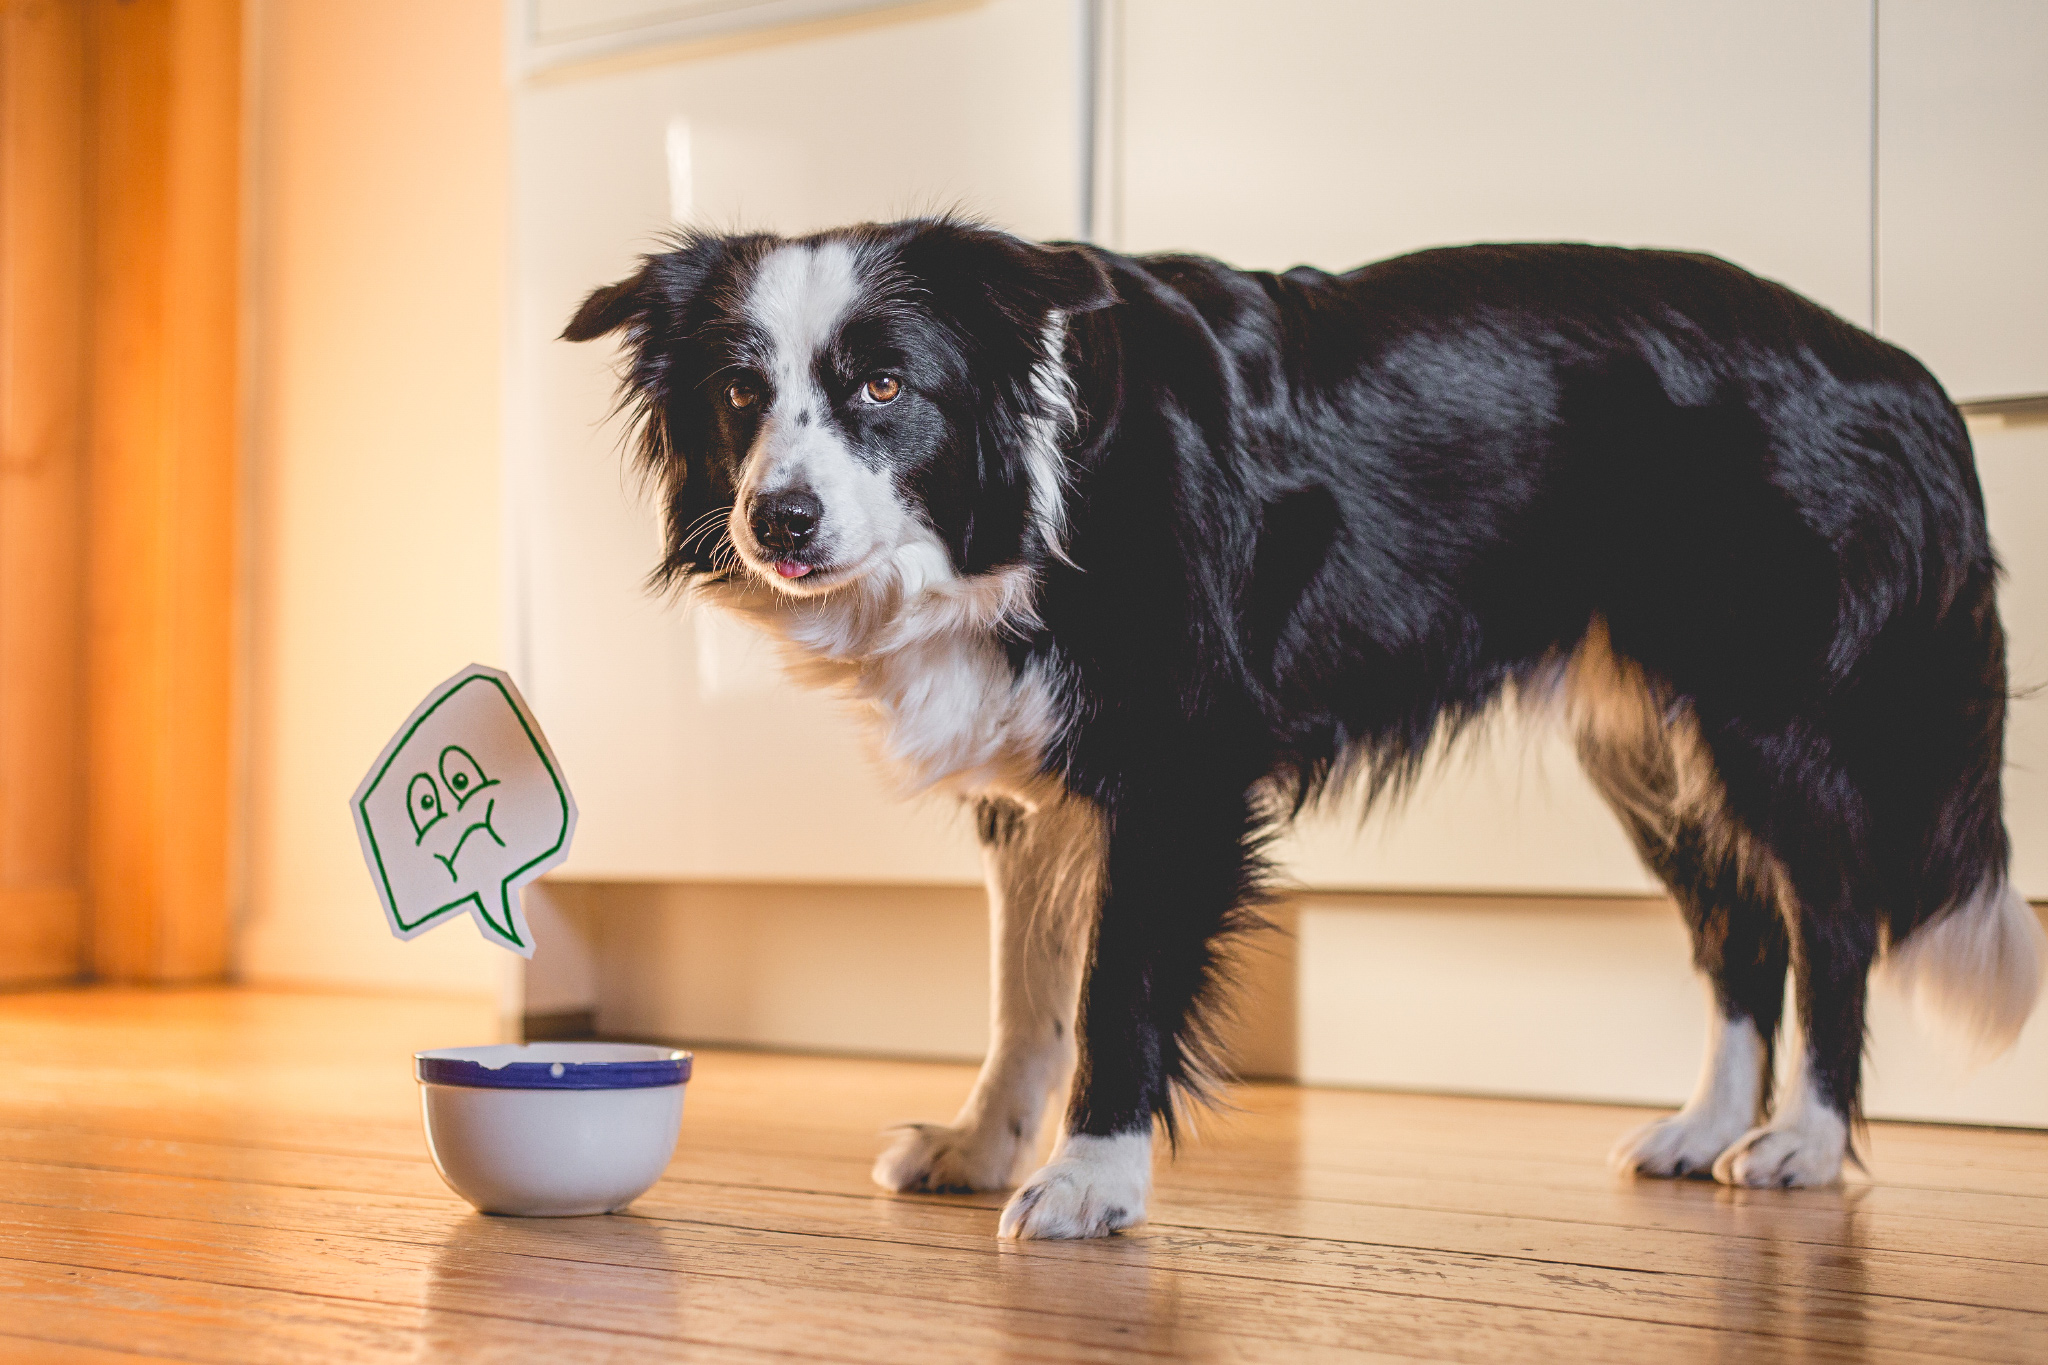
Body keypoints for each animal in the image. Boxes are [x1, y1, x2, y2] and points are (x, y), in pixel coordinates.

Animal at [565, 218, 2048, 1244]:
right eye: (741, 396)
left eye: (882, 389)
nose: (778, 520)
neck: (1035, 484)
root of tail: (1904, 369)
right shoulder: (1037, 784)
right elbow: (1022, 997)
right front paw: (981, 1148)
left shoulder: (1171, 768)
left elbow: (1109, 995)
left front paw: (1088, 1180)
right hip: (1646, 742)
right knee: (1741, 924)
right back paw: (1705, 1128)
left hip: (1770, 718)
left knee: (1834, 917)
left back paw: (1804, 1142)